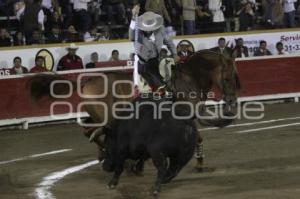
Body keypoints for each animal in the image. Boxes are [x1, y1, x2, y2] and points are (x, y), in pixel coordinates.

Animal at [27, 49, 240, 171]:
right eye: (228, 77)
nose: (232, 100)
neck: (188, 78)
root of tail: (86, 81)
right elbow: (198, 137)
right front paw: (199, 162)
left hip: (97, 116)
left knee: (90, 133)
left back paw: (108, 157)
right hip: (106, 117)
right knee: (98, 134)